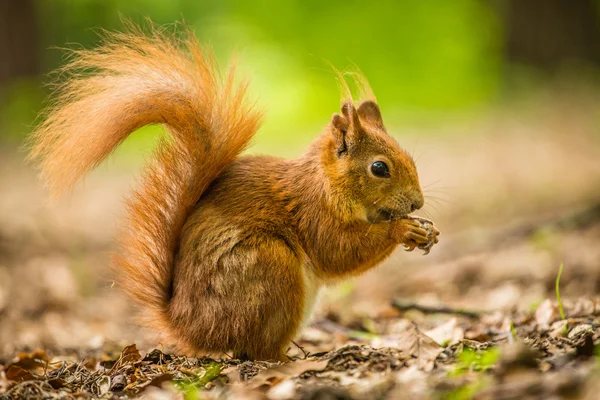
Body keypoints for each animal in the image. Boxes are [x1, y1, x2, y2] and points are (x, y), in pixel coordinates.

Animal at [27, 25, 440, 362]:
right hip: (270, 267)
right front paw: (403, 229)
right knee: (256, 350)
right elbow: (340, 250)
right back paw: (294, 358)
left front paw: (426, 230)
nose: (416, 202)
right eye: (379, 168)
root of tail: (187, 325)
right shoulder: (314, 212)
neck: (327, 182)